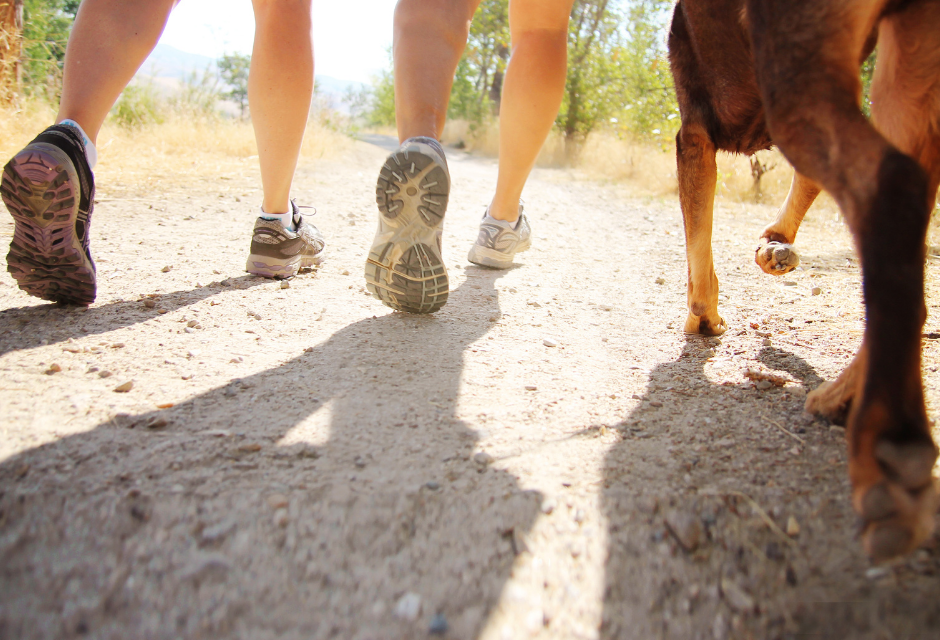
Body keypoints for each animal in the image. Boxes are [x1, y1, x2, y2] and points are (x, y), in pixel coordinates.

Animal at [668, 0, 940, 560]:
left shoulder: (694, 134)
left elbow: (698, 246)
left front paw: (703, 316)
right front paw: (772, 248)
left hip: (798, 74)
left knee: (892, 183)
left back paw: (890, 445)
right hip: (907, 73)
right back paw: (841, 397)